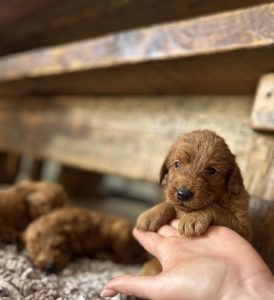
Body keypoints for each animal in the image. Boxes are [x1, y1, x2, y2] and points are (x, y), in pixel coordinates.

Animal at [137, 130, 253, 276]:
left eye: (211, 170)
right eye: (177, 164)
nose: (183, 193)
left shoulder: (243, 230)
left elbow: (213, 208)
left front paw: (194, 217)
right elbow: (169, 204)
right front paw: (150, 215)